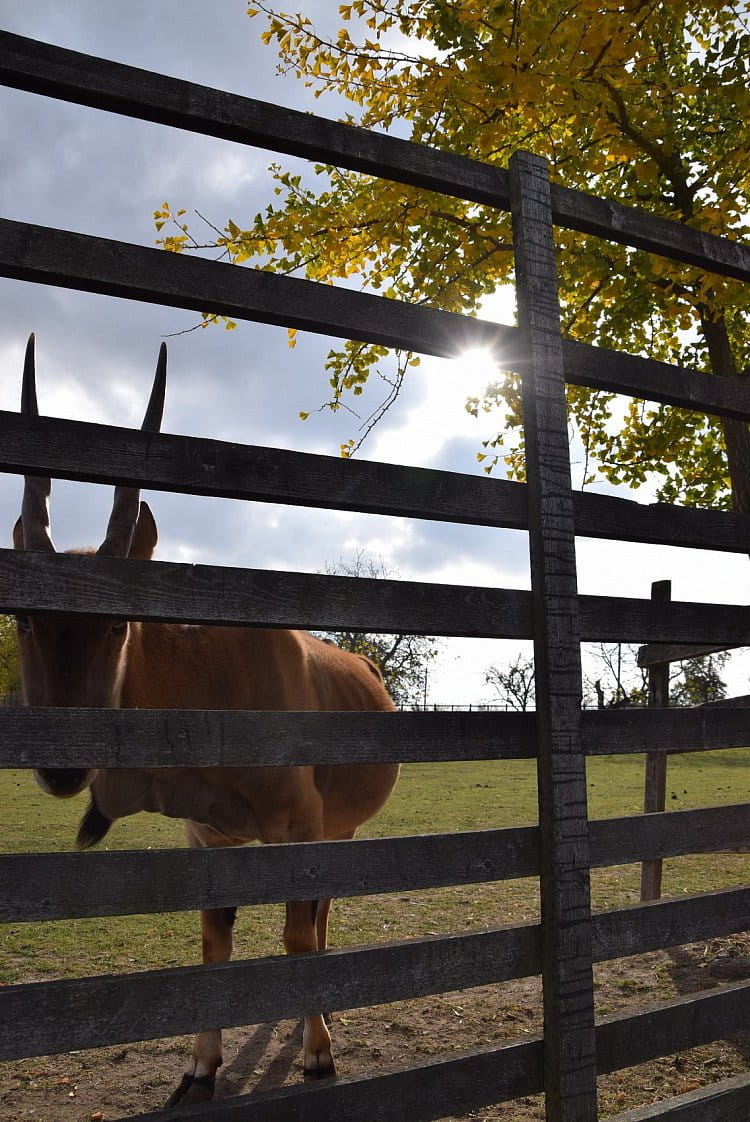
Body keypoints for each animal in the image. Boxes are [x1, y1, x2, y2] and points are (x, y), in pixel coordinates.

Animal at [13, 336, 397, 1108]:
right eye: (23, 617)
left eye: (118, 622)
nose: (63, 765)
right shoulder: (208, 839)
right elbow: (214, 943)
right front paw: (199, 1067)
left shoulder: (297, 828)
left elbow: (296, 933)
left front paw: (317, 1052)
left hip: (336, 827)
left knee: (319, 914)